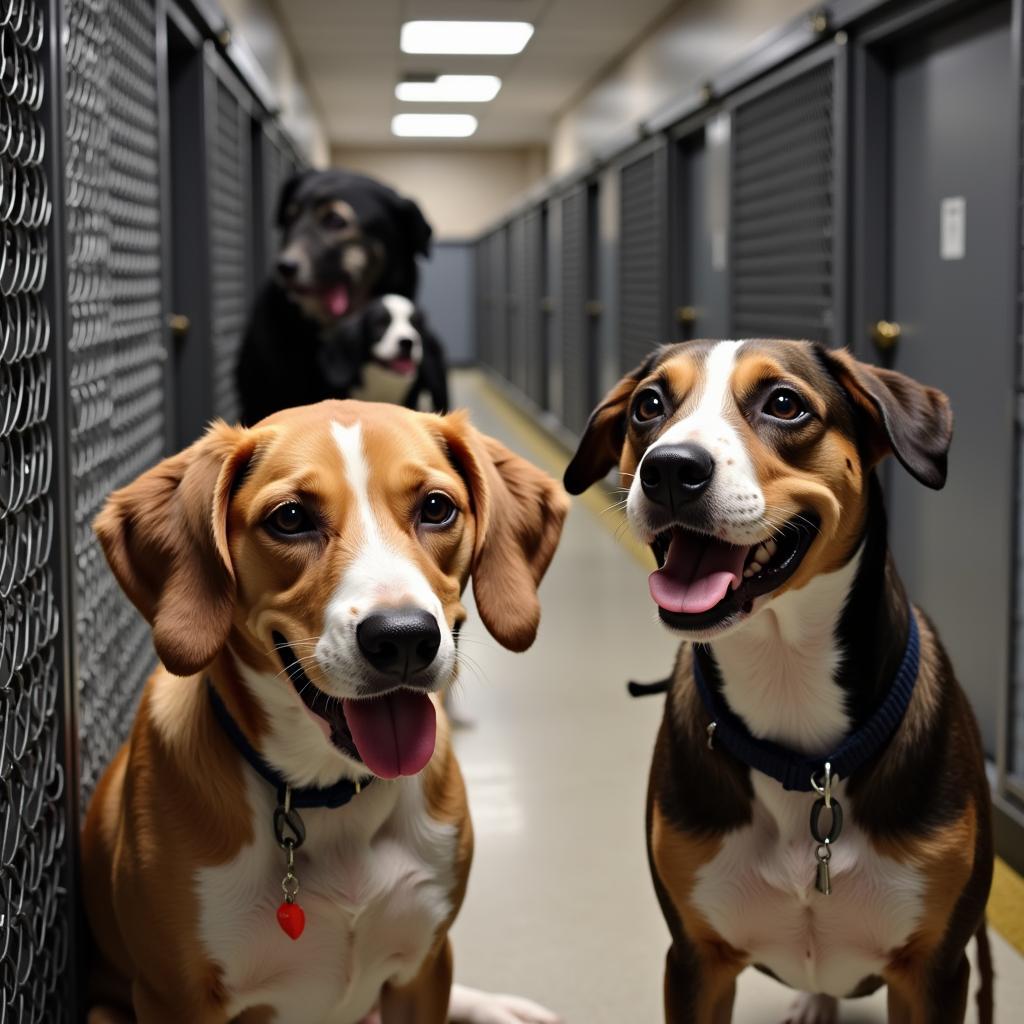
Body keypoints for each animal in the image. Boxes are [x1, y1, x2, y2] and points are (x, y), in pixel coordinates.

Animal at [83, 397, 573, 1024]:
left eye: (437, 508)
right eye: (290, 518)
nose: (404, 638)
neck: (328, 795)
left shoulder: (424, 968)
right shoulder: (175, 997)